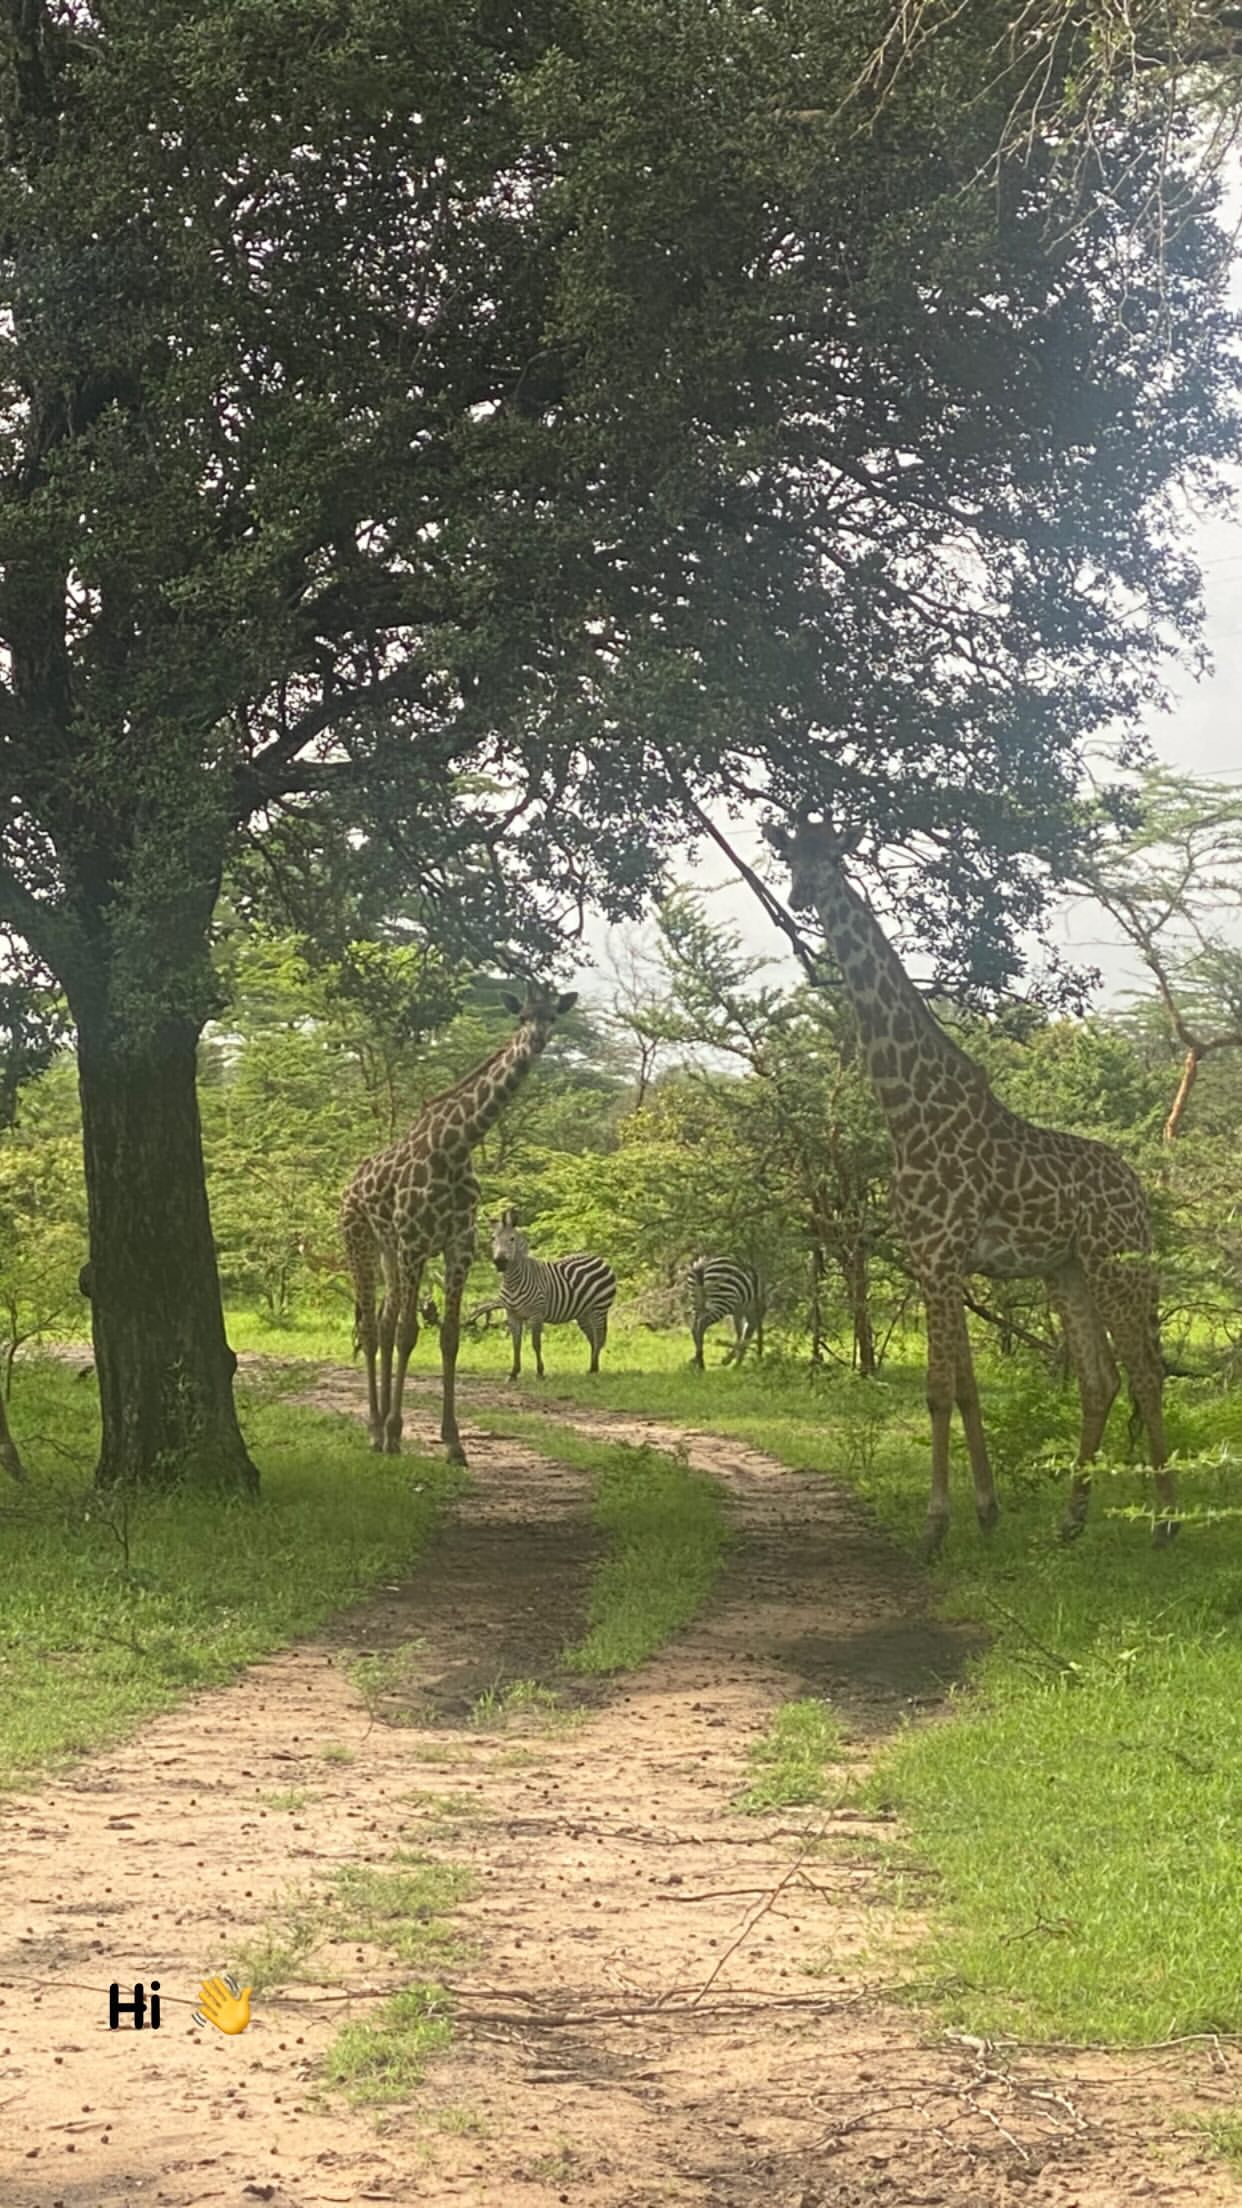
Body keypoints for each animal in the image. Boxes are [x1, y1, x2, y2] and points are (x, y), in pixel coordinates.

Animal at [335, 984, 574, 1466]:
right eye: (522, 1016)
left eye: (552, 1017)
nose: (535, 1041)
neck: (459, 1144)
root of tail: (349, 1187)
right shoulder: (415, 1242)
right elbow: (409, 1334)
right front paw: (396, 1433)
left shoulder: (457, 1244)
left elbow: (448, 1337)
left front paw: (453, 1443)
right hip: (361, 1240)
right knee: (371, 1326)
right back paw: (375, 1430)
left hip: (390, 1252)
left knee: (383, 1321)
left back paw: (383, 1425)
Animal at [488, 1209, 614, 1377]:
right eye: (493, 1239)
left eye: (512, 1239)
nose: (500, 1263)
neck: (512, 1282)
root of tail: (599, 1258)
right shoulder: (512, 1315)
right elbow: (516, 1345)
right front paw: (514, 1372)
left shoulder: (536, 1314)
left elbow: (536, 1344)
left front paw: (540, 1372)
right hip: (583, 1313)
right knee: (592, 1337)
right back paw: (593, 1367)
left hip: (599, 1308)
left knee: (599, 1337)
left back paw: (594, 1368)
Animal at [769, 821, 1175, 1563]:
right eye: (791, 858)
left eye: (829, 856)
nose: (801, 894)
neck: (906, 1110)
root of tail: (1137, 1191)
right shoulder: (935, 1259)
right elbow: (965, 1389)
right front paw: (986, 1512)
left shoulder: (940, 1253)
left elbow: (936, 1391)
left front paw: (935, 1526)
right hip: (1066, 1269)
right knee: (1101, 1378)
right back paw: (1070, 1520)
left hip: (1116, 1263)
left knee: (1145, 1372)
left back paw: (1166, 1520)